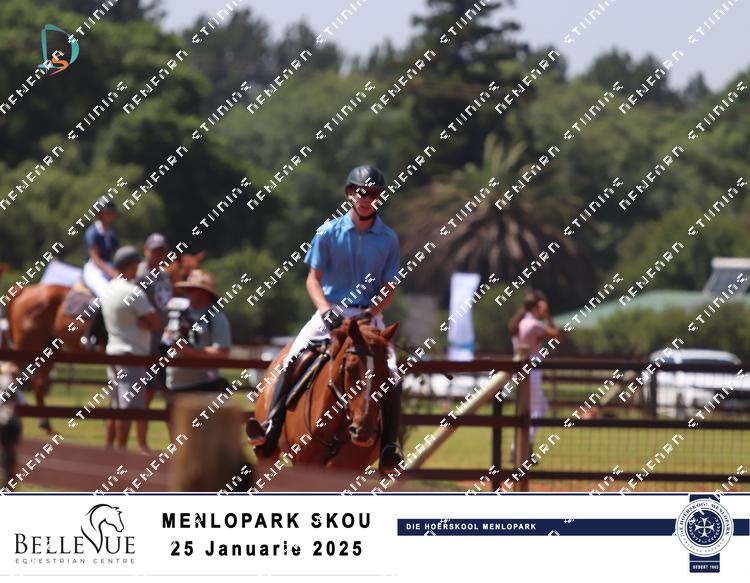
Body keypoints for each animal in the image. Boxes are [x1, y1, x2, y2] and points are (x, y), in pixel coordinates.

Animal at [4, 251, 205, 434]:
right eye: (185, 274)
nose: (190, 308)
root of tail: (26, 290)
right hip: (28, 344)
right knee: (14, 372)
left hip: (49, 348)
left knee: (38, 382)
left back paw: (46, 425)